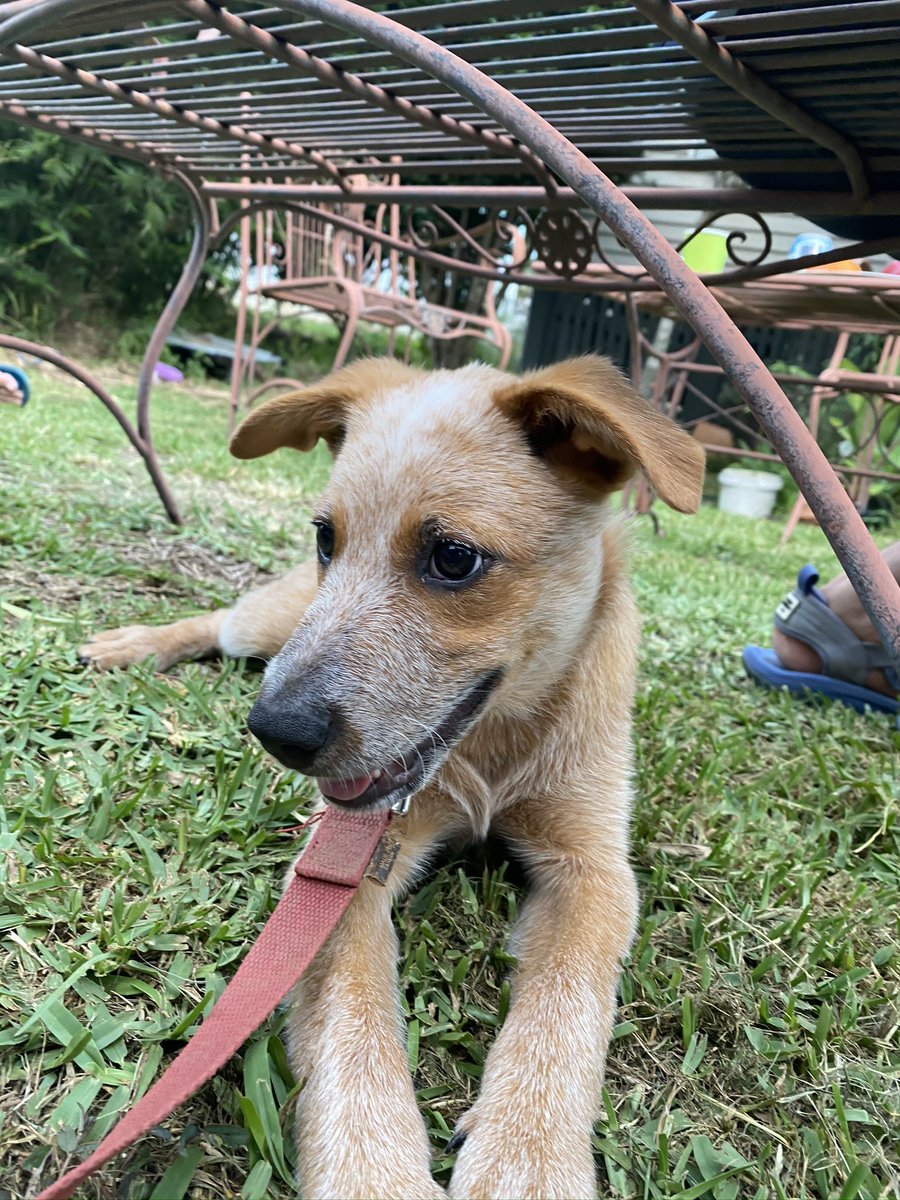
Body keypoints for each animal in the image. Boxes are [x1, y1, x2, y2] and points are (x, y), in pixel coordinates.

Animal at [81, 355, 710, 1200]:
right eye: (327, 537)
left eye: (453, 558)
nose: (276, 733)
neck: (495, 746)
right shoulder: (348, 866)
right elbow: (355, 1026)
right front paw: (373, 1174)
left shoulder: (592, 867)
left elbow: (567, 1004)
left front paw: (529, 1158)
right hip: (267, 627)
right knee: (214, 622)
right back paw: (131, 645)